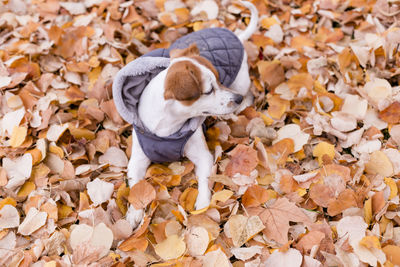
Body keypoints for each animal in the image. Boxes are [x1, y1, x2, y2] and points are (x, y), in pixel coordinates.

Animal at [111, 1, 258, 229]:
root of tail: (235, 36)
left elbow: (205, 181)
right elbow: (136, 186)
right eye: (209, 90)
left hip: (241, 81)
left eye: (220, 79)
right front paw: (135, 213)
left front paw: (203, 205)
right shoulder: (137, 161)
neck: (166, 129)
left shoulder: (204, 157)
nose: (236, 98)